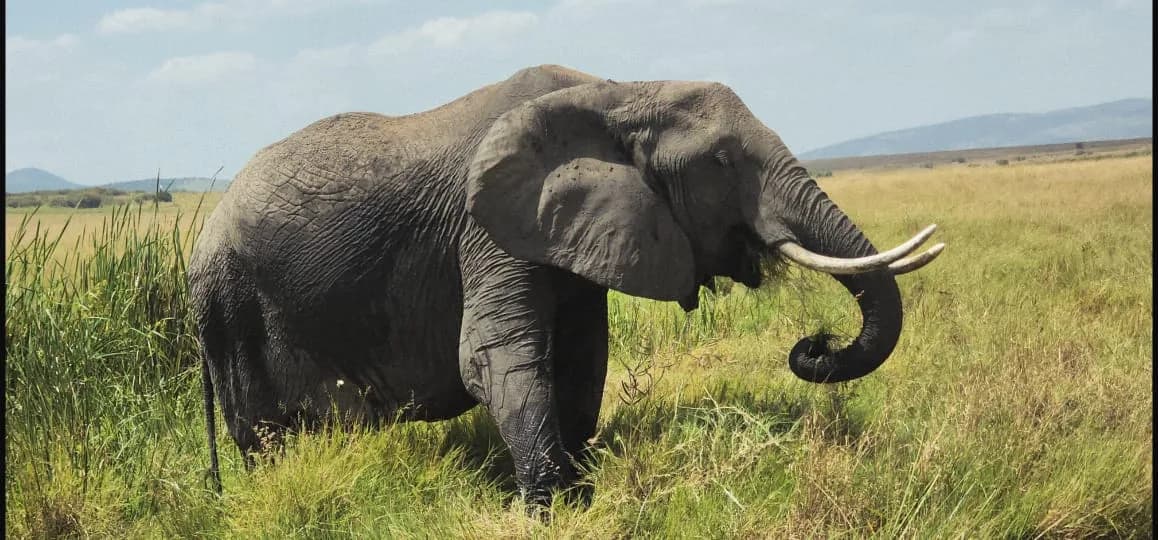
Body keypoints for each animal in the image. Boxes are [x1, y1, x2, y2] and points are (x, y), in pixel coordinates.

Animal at [188, 64, 943, 506]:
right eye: (724, 161)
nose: (814, 344)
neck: (618, 93)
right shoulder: (486, 224)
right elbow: (493, 356)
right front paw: (549, 507)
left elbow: (583, 355)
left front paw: (579, 488)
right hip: (236, 314)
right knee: (263, 434)